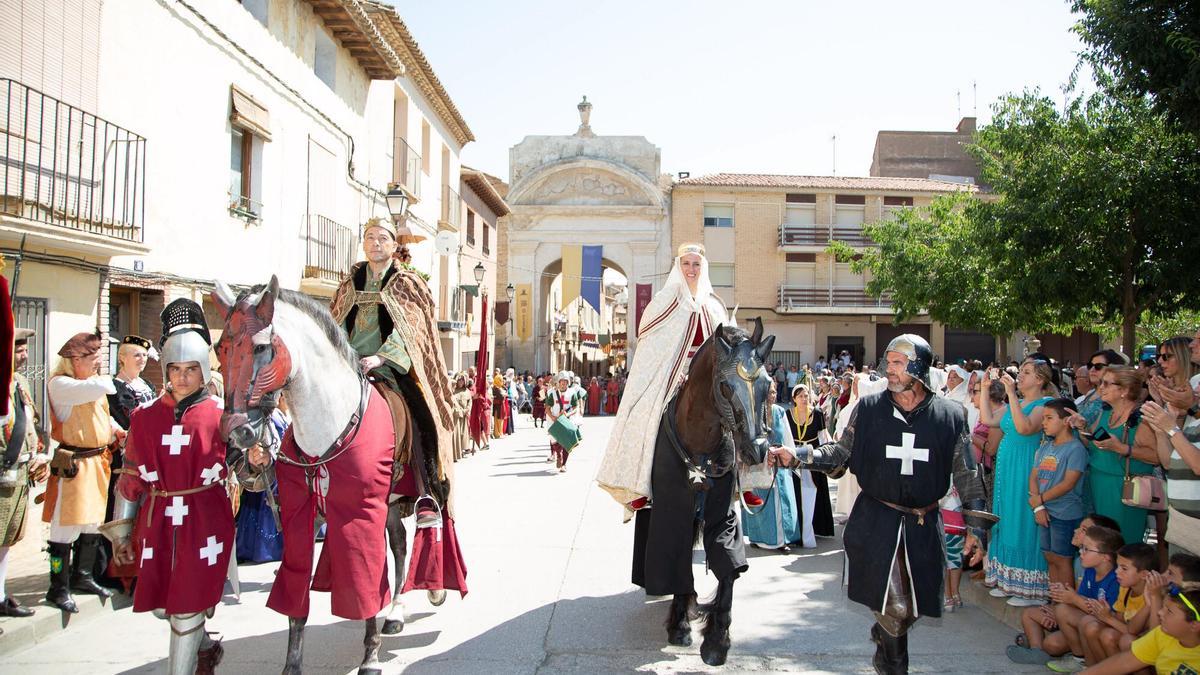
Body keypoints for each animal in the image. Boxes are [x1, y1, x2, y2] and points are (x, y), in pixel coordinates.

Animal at [628, 317, 777, 662]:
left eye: (767, 384)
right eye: (725, 386)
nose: (757, 450)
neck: (698, 441)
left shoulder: (723, 513)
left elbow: (728, 565)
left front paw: (717, 638)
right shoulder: (673, 509)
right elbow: (675, 558)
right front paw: (680, 624)